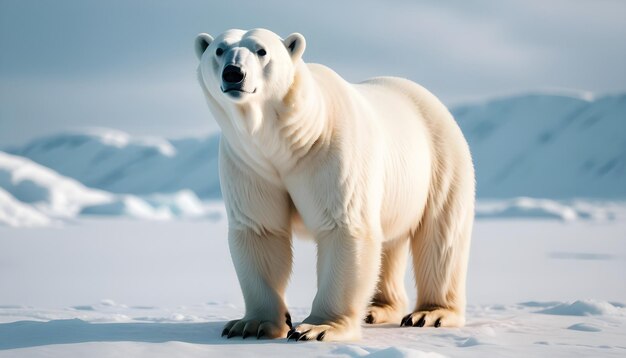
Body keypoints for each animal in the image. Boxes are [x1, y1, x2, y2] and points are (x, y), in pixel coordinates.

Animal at [195, 28, 472, 342]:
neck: (290, 138)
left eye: (261, 50)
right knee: (389, 243)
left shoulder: (332, 152)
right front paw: (251, 324)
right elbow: (261, 230)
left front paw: (317, 328)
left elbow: (344, 227)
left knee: (442, 237)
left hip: (441, 160)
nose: (233, 73)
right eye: (219, 50)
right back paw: (376, 308)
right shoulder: (250, 163)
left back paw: (430, 313)